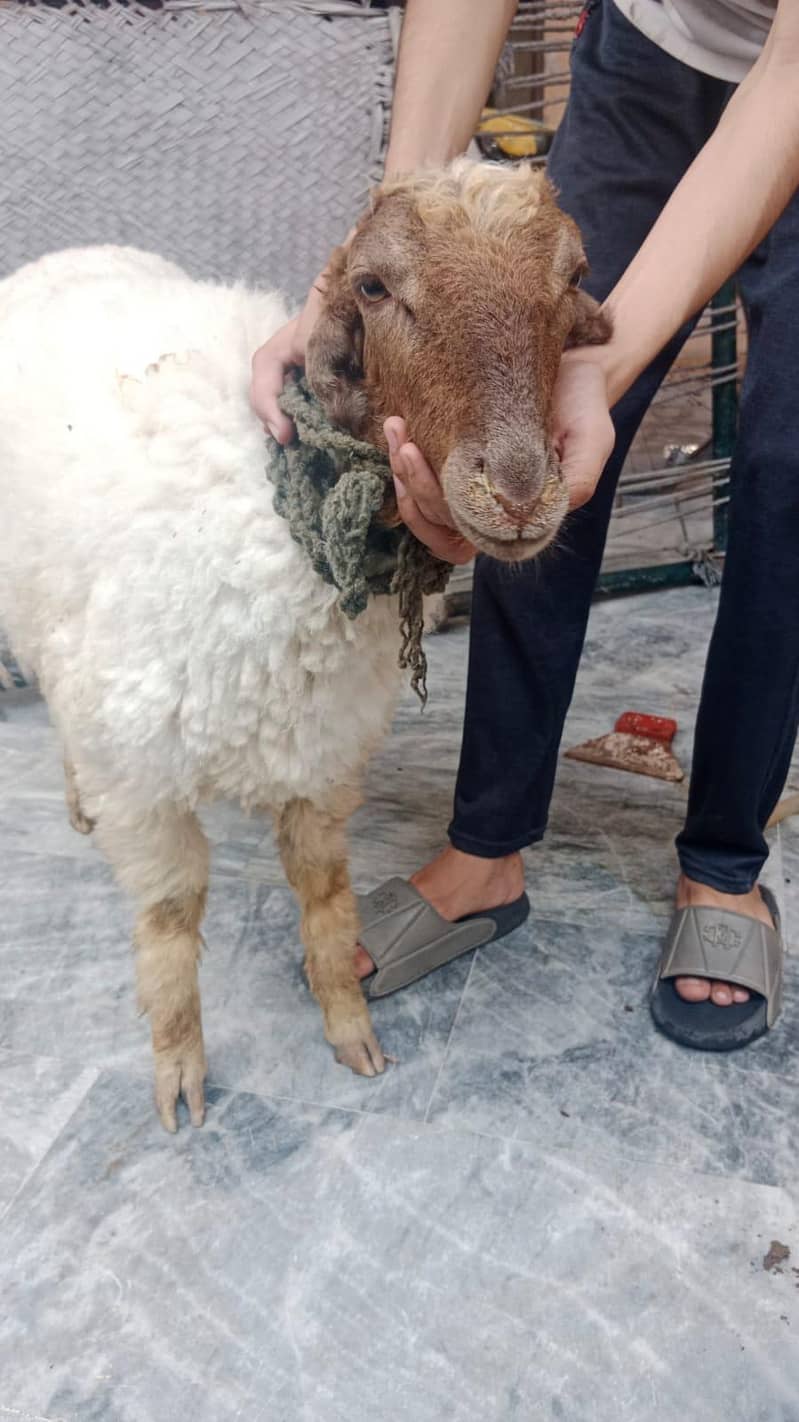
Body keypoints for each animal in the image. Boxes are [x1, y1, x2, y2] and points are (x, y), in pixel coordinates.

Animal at [0, 160, 609, 1131]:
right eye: (373, 286)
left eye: (574, 276)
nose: (519, 493)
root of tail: (74, 251)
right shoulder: (141, 776)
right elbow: (171, 918)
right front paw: (178, 1072)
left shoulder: (318, 751)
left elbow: (326, 898)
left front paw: (348, 1026)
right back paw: (74, 801)